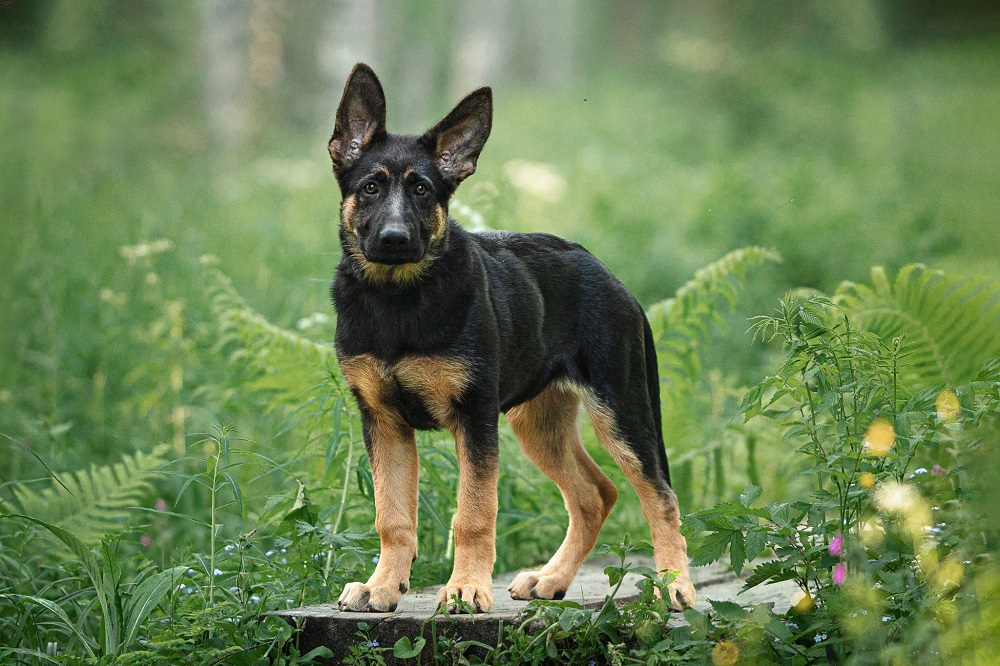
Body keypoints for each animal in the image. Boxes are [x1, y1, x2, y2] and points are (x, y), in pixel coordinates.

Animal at [328, 63, 696, 612]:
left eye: (422, 191)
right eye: (370, 187)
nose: (395, 239)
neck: (399, 300)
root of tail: (609, 273)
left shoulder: (475, 418)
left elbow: (473, 514)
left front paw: (465, 589)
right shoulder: (383, 421)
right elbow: (392, 518)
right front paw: (382, 587)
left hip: (622, 413)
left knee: (660, 497)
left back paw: (675, 584)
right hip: (538, 423)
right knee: (596, 494)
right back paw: (551, 578)